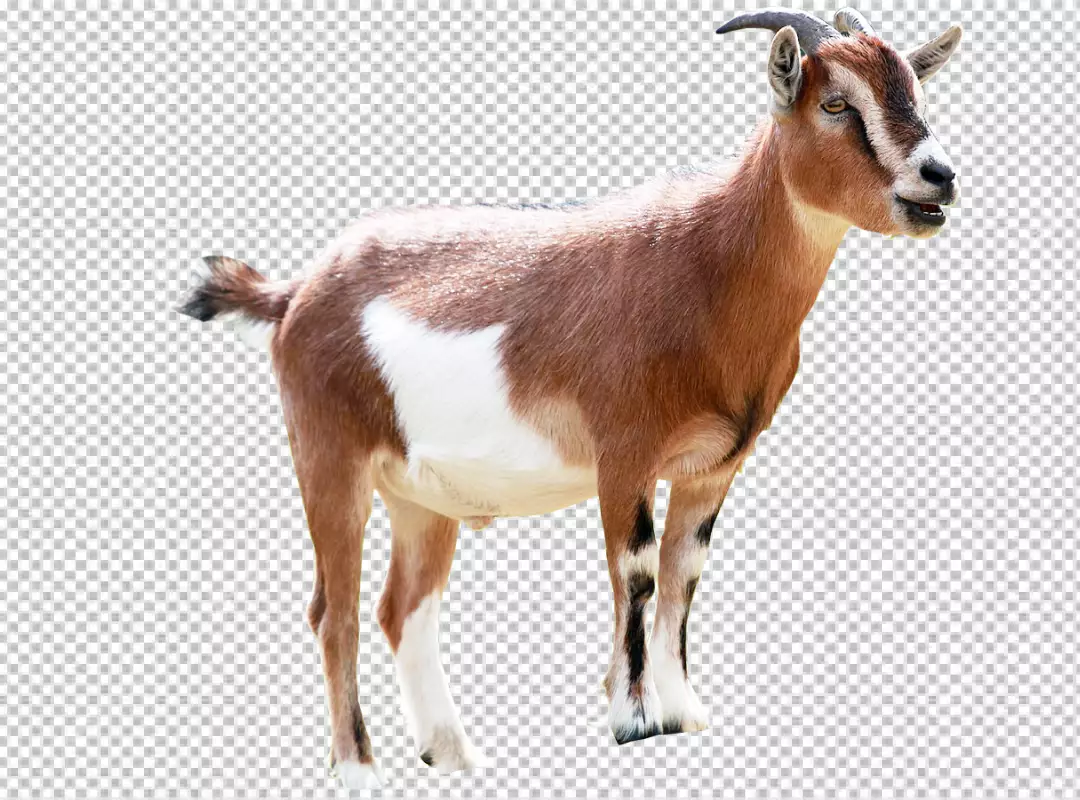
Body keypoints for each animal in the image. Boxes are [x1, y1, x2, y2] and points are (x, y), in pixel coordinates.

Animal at [178, 7, 962, 789]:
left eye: (915, 90)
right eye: (834, 104)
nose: (940, 177)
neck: (707, 265)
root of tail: (294, 293)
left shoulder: (712, 468)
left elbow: (684, 573)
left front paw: (683, 711)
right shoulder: (624, 454)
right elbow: (638, 571)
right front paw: (634, 719)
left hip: (419, 496)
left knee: (402, 607)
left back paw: (454, 753)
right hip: (330, 460)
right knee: (332, 611)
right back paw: (359, 771)